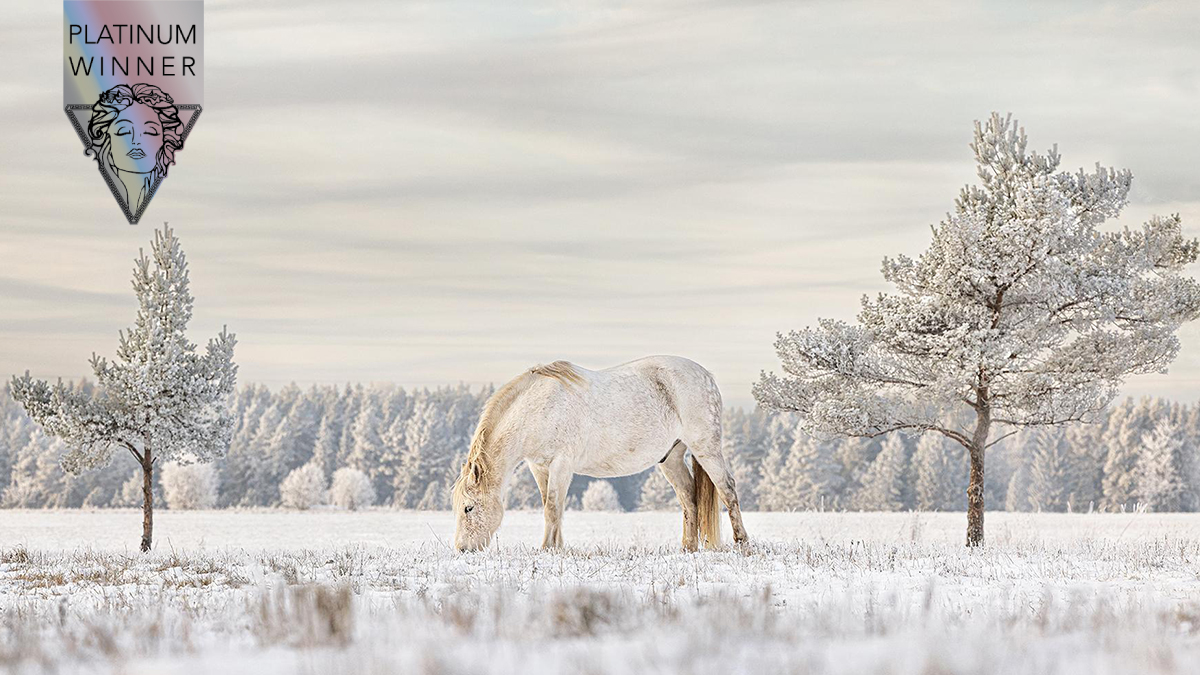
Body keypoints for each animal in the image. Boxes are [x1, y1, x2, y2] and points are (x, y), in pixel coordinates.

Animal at [451, 355, 748, 550]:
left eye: (468, 507)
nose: (463, 549)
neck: (537, 408)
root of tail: (706, 375)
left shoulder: (561, 464)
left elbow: (553, 507)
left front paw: (548, 549)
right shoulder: (540, 466)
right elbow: (552, 507)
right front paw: (558, 548)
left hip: (706, 448)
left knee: (727, 489)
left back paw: (742, 543)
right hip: (671, 458)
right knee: (689, 499)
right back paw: (687, 548)